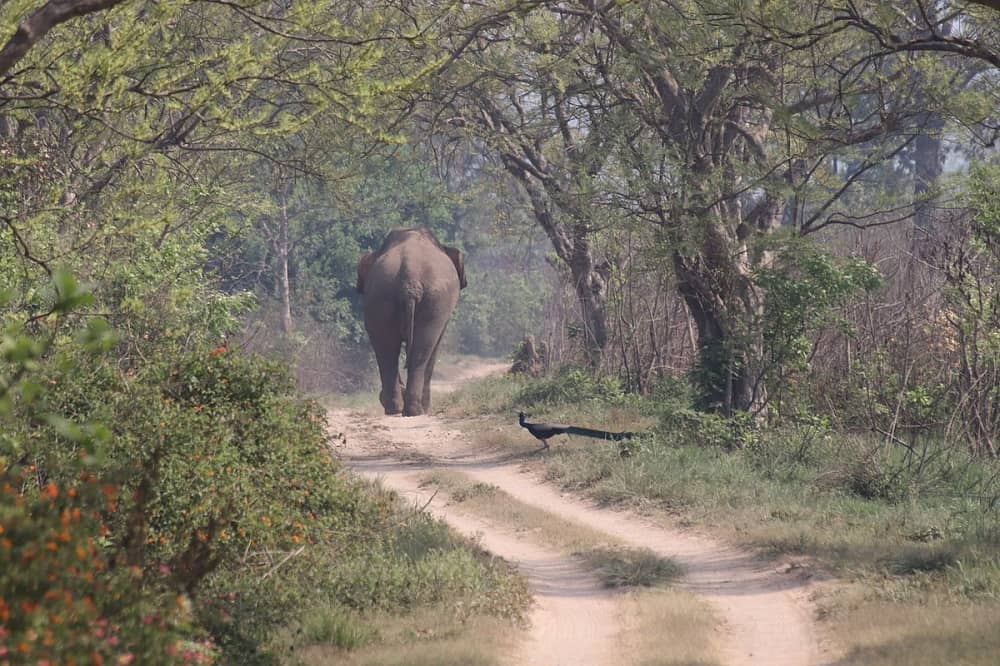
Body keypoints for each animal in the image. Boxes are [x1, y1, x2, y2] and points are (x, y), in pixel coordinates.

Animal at [356, 228, 468, 416]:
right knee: (421, 351)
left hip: (382, 297)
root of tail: (409, 279)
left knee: (388, 351)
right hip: (432, 304)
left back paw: (397, 409)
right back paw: (416, 410)